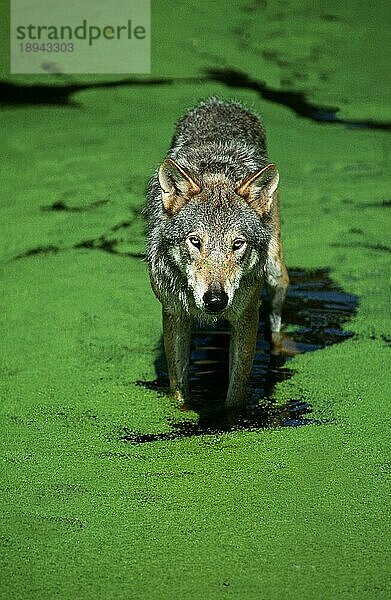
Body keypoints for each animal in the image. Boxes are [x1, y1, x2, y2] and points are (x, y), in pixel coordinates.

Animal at [145, 97, 290, 408]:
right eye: (195, 241)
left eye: (237, 244)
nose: (215, 299)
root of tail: (222, 103)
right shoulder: (174, 314)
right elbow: (179, 389)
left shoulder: (246, 316)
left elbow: (235, 394)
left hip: (275, 276)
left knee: (275, 328)